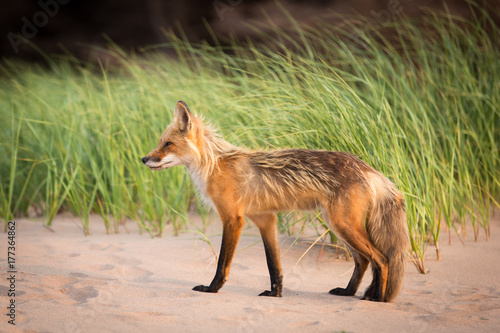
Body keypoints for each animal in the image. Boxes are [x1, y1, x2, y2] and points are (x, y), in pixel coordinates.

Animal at [142, 100, 410, 300]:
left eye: (168, 144)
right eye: (160, 143)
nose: (144, 159)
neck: (214, 166)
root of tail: (367, 168)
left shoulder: (233, 219)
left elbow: (222, 263)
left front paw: (212, 288)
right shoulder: (265, 219)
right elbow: (274, 265)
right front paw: (276, 293)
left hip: (343, 226)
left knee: (381, 259)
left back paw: (378, 298)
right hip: (339, 226)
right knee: (364, 260)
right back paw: (349, 292)